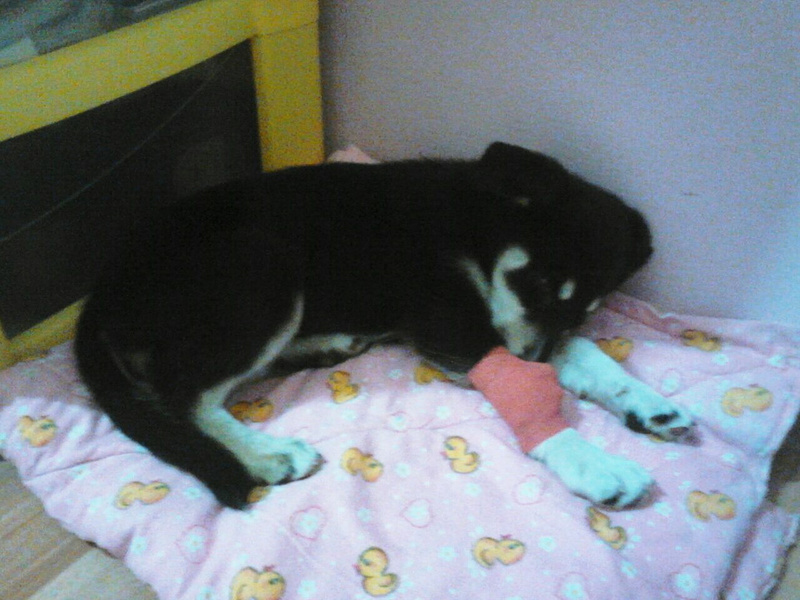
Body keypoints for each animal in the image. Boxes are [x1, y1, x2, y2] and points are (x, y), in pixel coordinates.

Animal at [75, 142, 694, 509]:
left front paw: (647, 402)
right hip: (265, 265)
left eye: (588, 310)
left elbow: (586, 356)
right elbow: (526, 383)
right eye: (537, 284)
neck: (479, 228)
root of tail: (98, 293)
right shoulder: (456, 327)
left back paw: (323, 348)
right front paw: (590, 461)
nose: (534, 358)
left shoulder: (510, 329)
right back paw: (267, 455)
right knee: (184, 397)